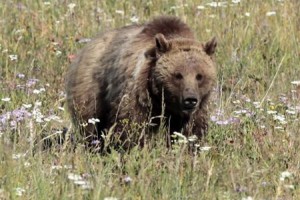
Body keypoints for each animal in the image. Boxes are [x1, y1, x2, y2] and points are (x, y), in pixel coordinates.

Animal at [66, 15, 216, 150]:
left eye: (199, 76)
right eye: (178, 75)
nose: (190, 99)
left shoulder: (198, 106)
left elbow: (191, 129)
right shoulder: (138, 91)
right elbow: (132, 124)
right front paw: (135, 148)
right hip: (92, 89)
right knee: (90, 123)